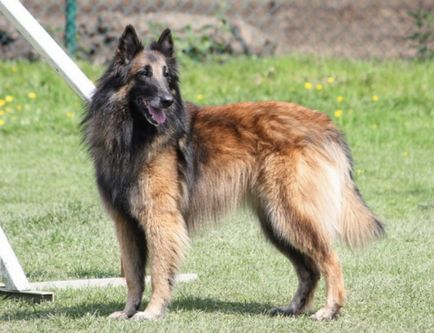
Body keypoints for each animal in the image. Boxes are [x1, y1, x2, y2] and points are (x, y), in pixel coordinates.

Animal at [81, 24, 384, 320]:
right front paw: (128, 311)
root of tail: (325, 124)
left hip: (291, 215)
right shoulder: (126, 222)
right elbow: (133, 275)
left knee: (330, 259)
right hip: (276, 223)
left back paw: (330, 309)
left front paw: (152, 312)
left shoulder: (161, 219)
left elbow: (157, 272)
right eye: (144, 73)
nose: (167, 100)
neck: (132, 133)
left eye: (167, 75)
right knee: (309, 269)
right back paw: (293, 309)